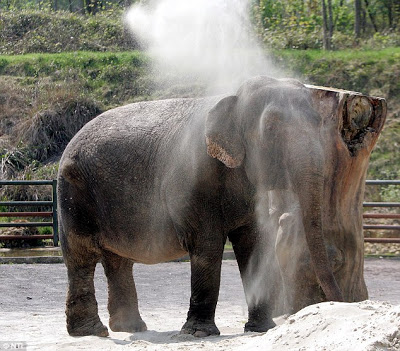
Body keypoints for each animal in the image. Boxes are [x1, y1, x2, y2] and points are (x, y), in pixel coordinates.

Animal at [56, 76, 384, 338]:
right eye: (272, 127)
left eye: (320, 125)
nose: (343, 305)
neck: (232, 97)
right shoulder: (193, 180)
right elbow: (208, 246)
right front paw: (198, 334)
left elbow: (253, 244)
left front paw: (262, 329)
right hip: (73, 190)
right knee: (82, 254)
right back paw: (92, 332)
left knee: (118, 260)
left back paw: (130, 328)